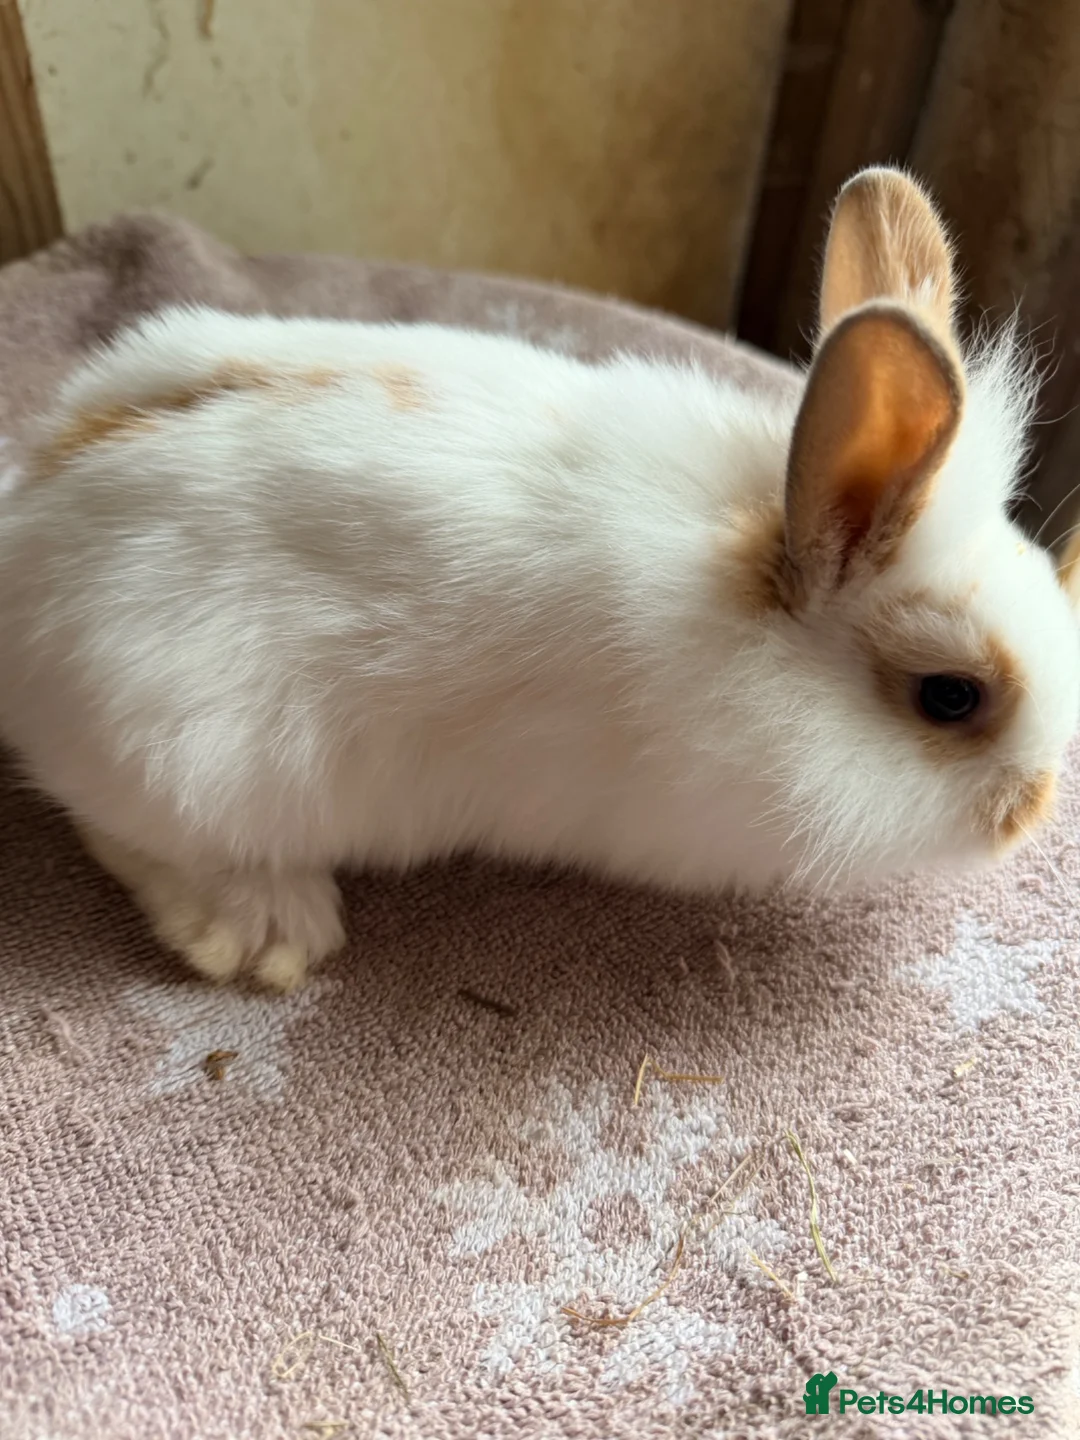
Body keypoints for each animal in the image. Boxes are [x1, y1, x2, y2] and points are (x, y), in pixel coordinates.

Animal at [0, 165, 1077, 992]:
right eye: (949, 697)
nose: (1032, 810)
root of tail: (27, 540)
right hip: (193, 761)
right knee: (129, 835)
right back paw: (266, 936)